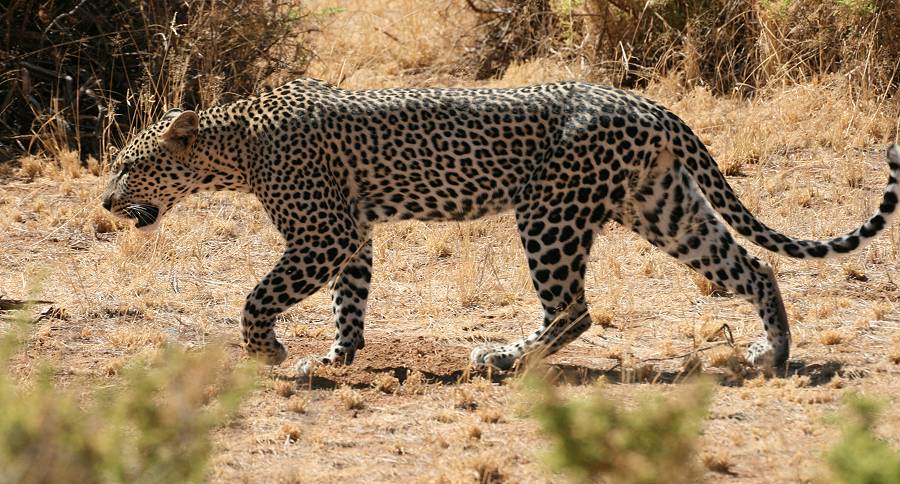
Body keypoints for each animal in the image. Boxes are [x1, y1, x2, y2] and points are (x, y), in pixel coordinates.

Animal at [100, 77, 900, 376]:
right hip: (660, 205)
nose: (106, 205)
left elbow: (258, 293)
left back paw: (506, 358)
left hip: (548, 210)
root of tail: (647, 103)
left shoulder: (322, 234)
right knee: (751, 266)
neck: (233, 146)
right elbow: (349, 301)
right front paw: (338, 355)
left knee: (573, 307)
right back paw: (773, 351)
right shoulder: (352, 233)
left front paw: (266, 349)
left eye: (129, 168)